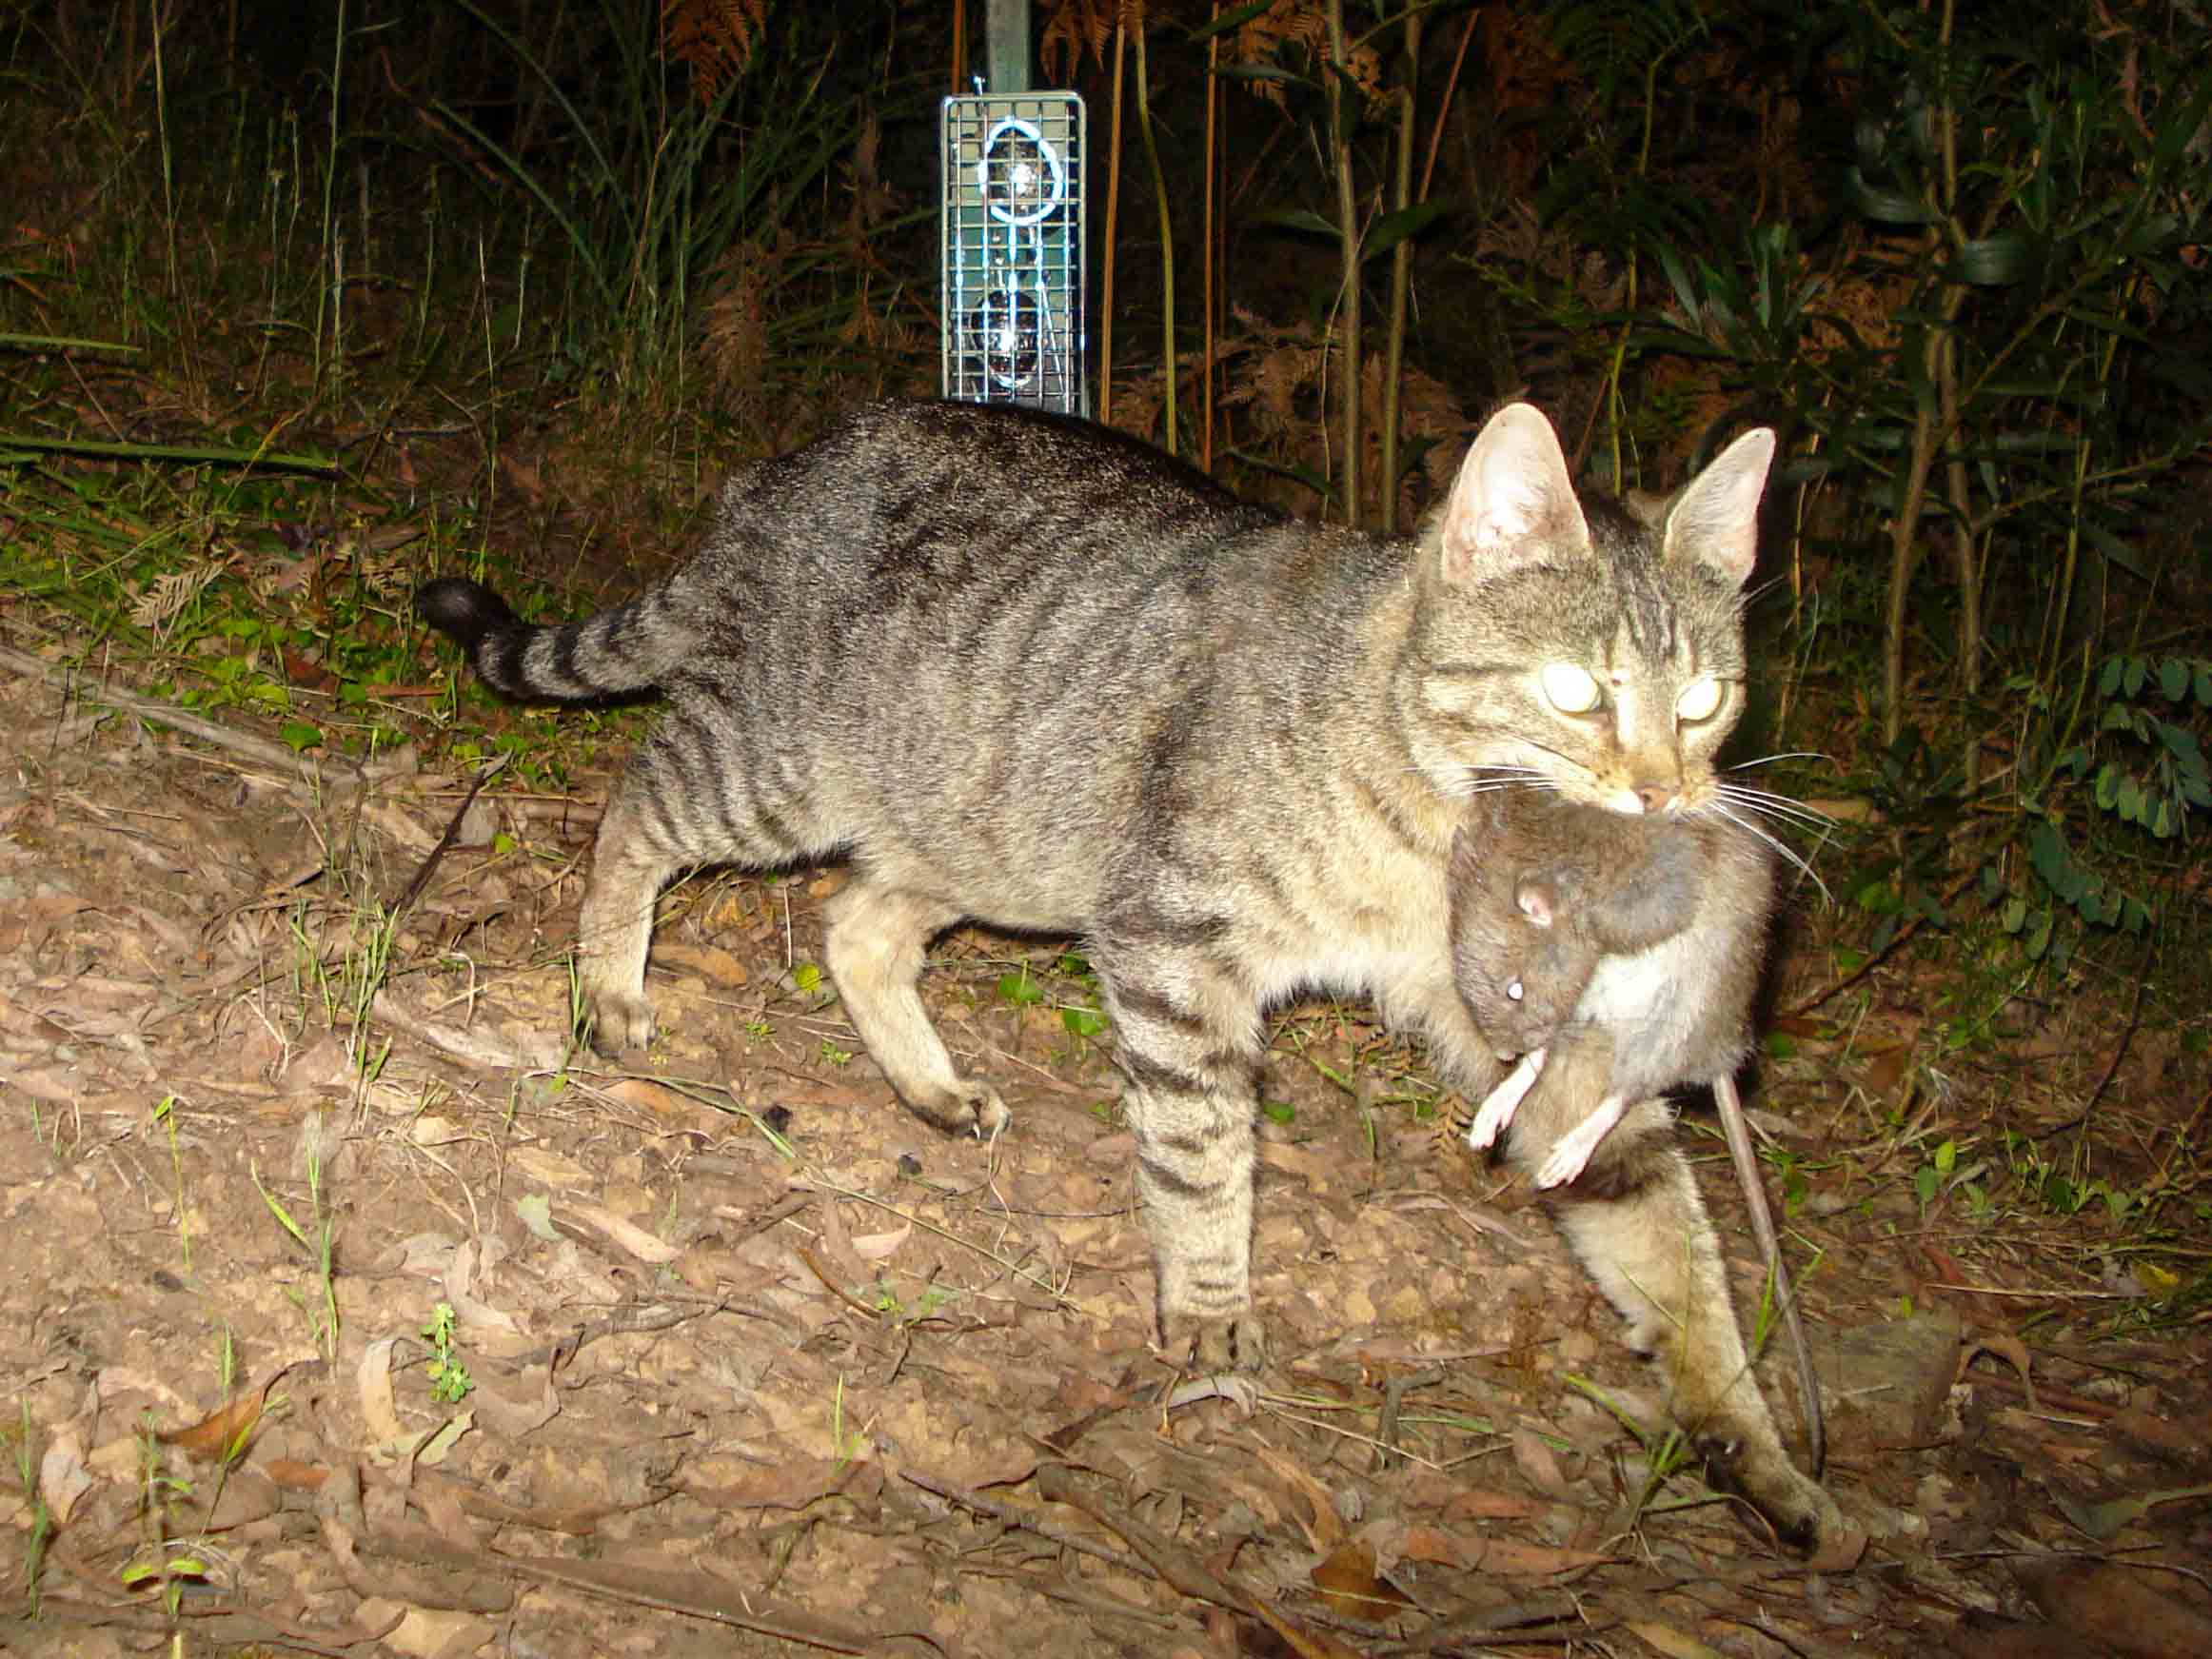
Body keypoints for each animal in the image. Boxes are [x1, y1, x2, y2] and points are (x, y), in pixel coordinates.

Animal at [415, 402, 1831, 1557]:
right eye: (1575, 690)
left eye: (1704, 699)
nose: (1666, 795)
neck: (1425, 817)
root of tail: (784, 466)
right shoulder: (1174, 941)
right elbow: (1202, 1154)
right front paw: (1208, 1310)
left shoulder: (1544, 1043)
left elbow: (1670, 1245)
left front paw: (1756, 1444)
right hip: (780, 772)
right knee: (637, 810)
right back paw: (611, 981)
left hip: (994, 827)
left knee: (860, 923)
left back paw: (928, 1085)